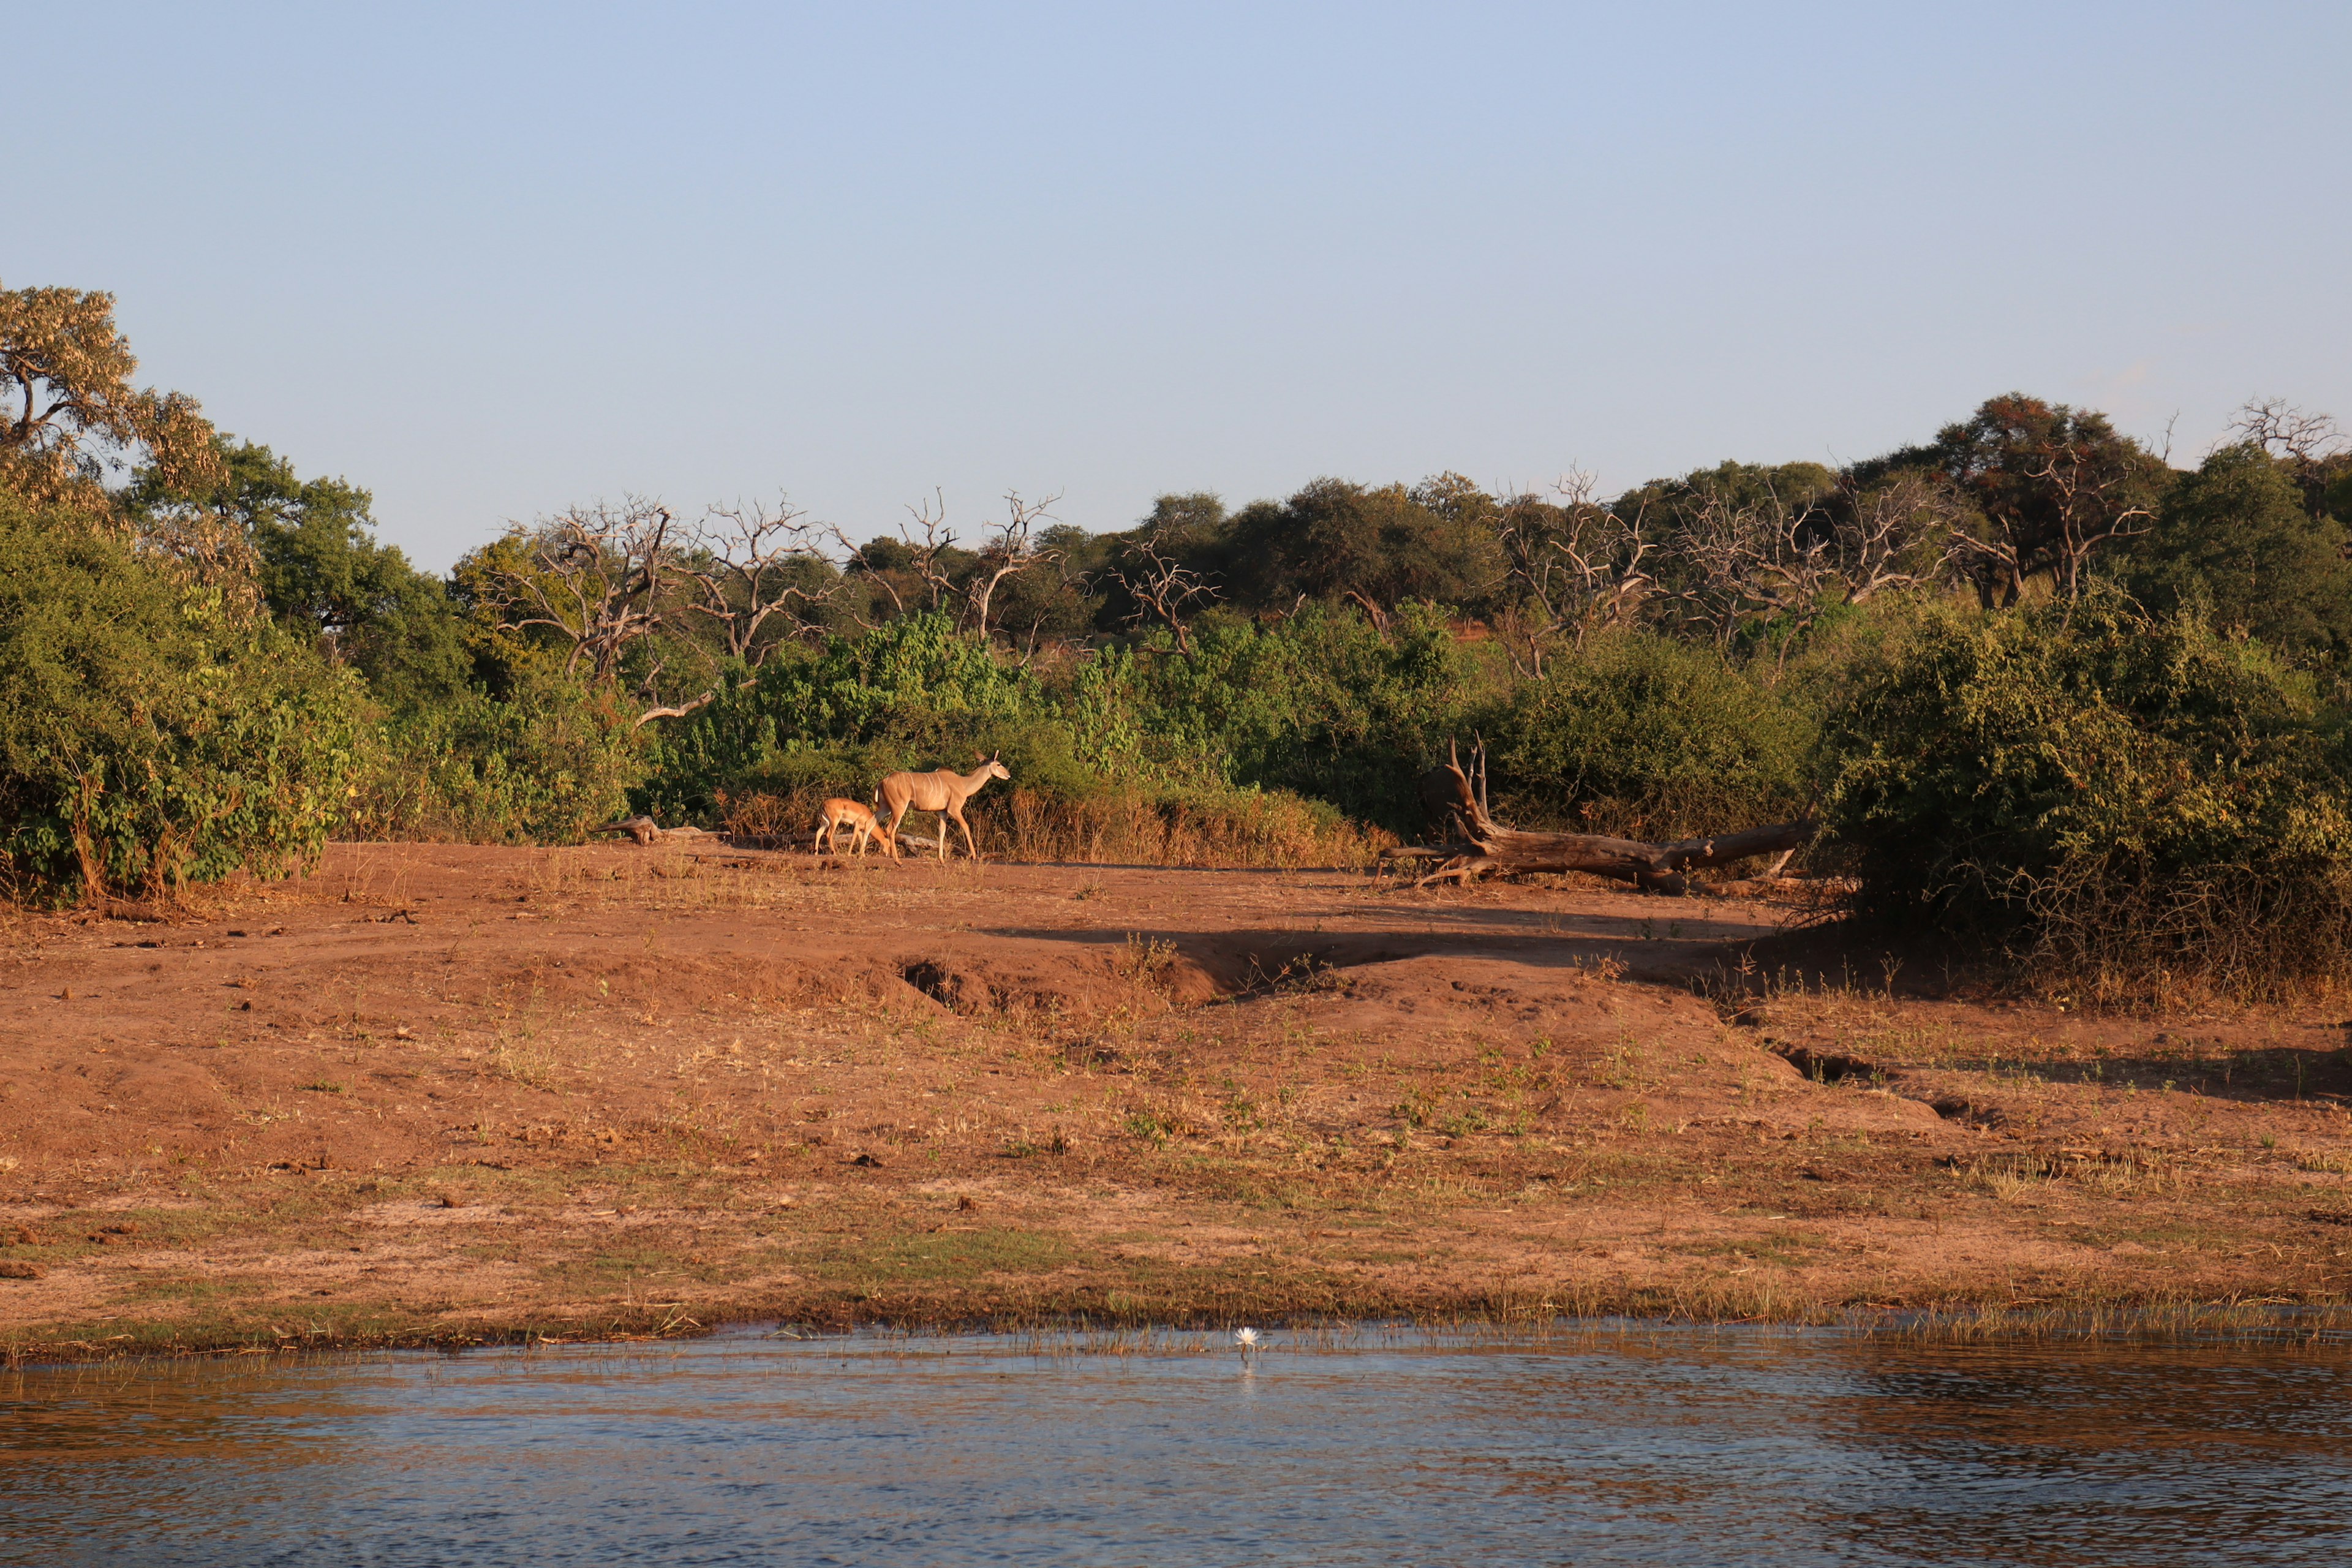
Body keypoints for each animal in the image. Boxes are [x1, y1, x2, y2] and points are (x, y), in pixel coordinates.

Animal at [804, 799, 884, 860]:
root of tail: (823, 804)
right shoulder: (857, 825)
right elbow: (853, 839)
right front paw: (849, 854)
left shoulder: (859, 829)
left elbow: (861, 840)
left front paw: (863, 855)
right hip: (834, 822)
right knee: (828, 835)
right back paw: (835, 853)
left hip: (825, 823)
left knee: (818, 833)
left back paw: (816, 853)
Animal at [875, 756, 1001, 865]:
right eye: (999, 764)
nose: (1006, 775)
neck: (963, 783)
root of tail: (883, 781)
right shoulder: (954, 809)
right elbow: (965, 826)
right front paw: (974, 856)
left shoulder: (943, 811)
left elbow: (942, 831)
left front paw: (941, 860)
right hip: (899, 809)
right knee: (890, 829)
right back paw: (898, 861)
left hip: (885, 809)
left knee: (872, 823)